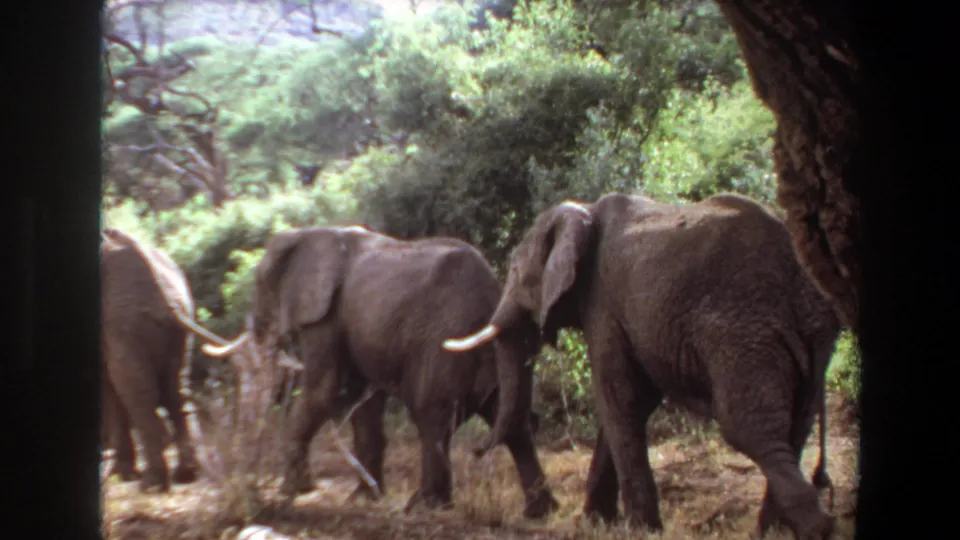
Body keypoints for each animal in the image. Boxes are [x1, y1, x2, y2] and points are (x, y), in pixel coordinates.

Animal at [100, 227, 228, 492]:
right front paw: (123, 473)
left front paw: (123, 474)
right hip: (179, 318)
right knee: (177, 389)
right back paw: (186, 474)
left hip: (124, 321)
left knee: (137, 391)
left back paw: (153, 482)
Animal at [201, 224, 559, 518]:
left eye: (261, 285)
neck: (310, 233)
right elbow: (363, 402)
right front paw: (363, 499)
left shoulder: (327, 317)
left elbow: (326, 389)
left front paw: (294, 491)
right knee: (511, 420)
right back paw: (540, 511)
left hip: (445, 341)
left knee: (432, 416)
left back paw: (424, 506)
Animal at [443, 192, 842, 539]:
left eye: (513, 270)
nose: (476, 450)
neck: (583, 212)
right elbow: (628, 403)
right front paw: (596, 522)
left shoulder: (603, 301)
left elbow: (621, 398)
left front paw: (638, 529)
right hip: (811, 335)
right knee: (795, 426)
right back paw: (776, 532)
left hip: (743, 330)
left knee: (748, 428)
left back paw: (814, 527)